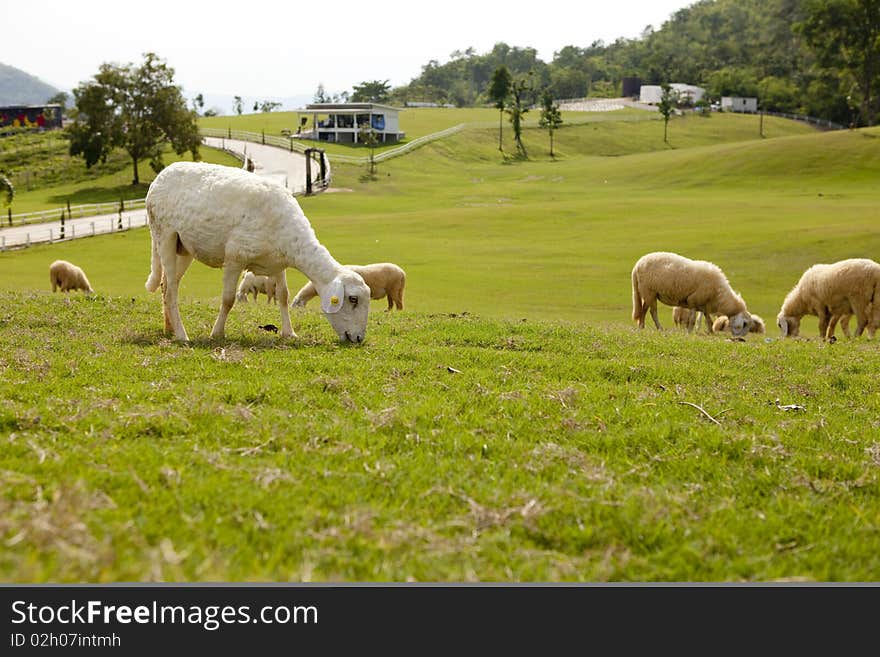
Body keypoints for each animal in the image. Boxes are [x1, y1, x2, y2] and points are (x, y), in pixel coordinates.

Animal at [143, 160, 370, 344]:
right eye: (353, 299)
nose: (359, 339)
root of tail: (161, 176)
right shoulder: (234, 258)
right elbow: (228, 299)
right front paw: (217, 333)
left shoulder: (277, 264)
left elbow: (283, 296)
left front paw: (289, 333)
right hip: (164, 235)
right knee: (171, 290)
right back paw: (182, 335)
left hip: (183, 248)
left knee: (165, 285)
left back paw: (169, 328)